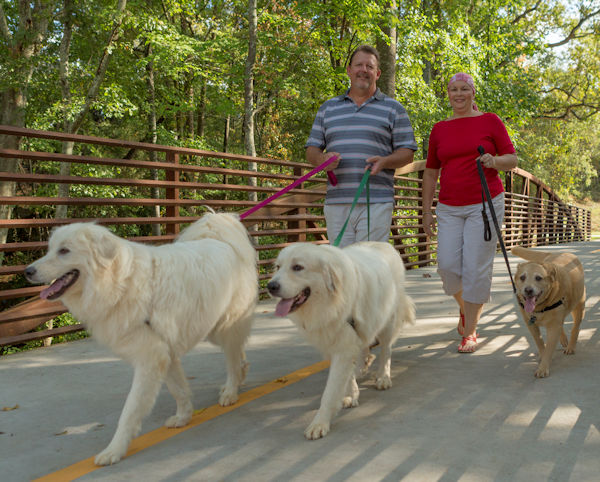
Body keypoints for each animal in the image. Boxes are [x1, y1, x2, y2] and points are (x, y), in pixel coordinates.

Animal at [25, 213, 258, 466]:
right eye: (50, 249)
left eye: (64, 251)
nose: (27, 271)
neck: (118, 283)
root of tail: (222, 239)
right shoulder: (164, 353)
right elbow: (179, 390)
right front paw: (183, 417)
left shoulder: (150, 359)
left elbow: (130, 410)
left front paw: (114, 450)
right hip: (214, 328)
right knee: (237, 354)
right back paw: (239, 378)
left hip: (225, 325)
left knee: (232, 359)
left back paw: (230, 392)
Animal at [266, 241, 412, 440]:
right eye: (278, 267)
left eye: (297, 267)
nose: (270, 286)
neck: (330, 302)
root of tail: (382, 243)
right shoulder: (335, 342)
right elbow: (346, 375)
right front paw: (351, 394)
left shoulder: (344, 345)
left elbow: (330, 392)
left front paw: (320, 423)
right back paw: (364, 365)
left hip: (387, 320)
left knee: (386, 350)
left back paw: (383, 376)